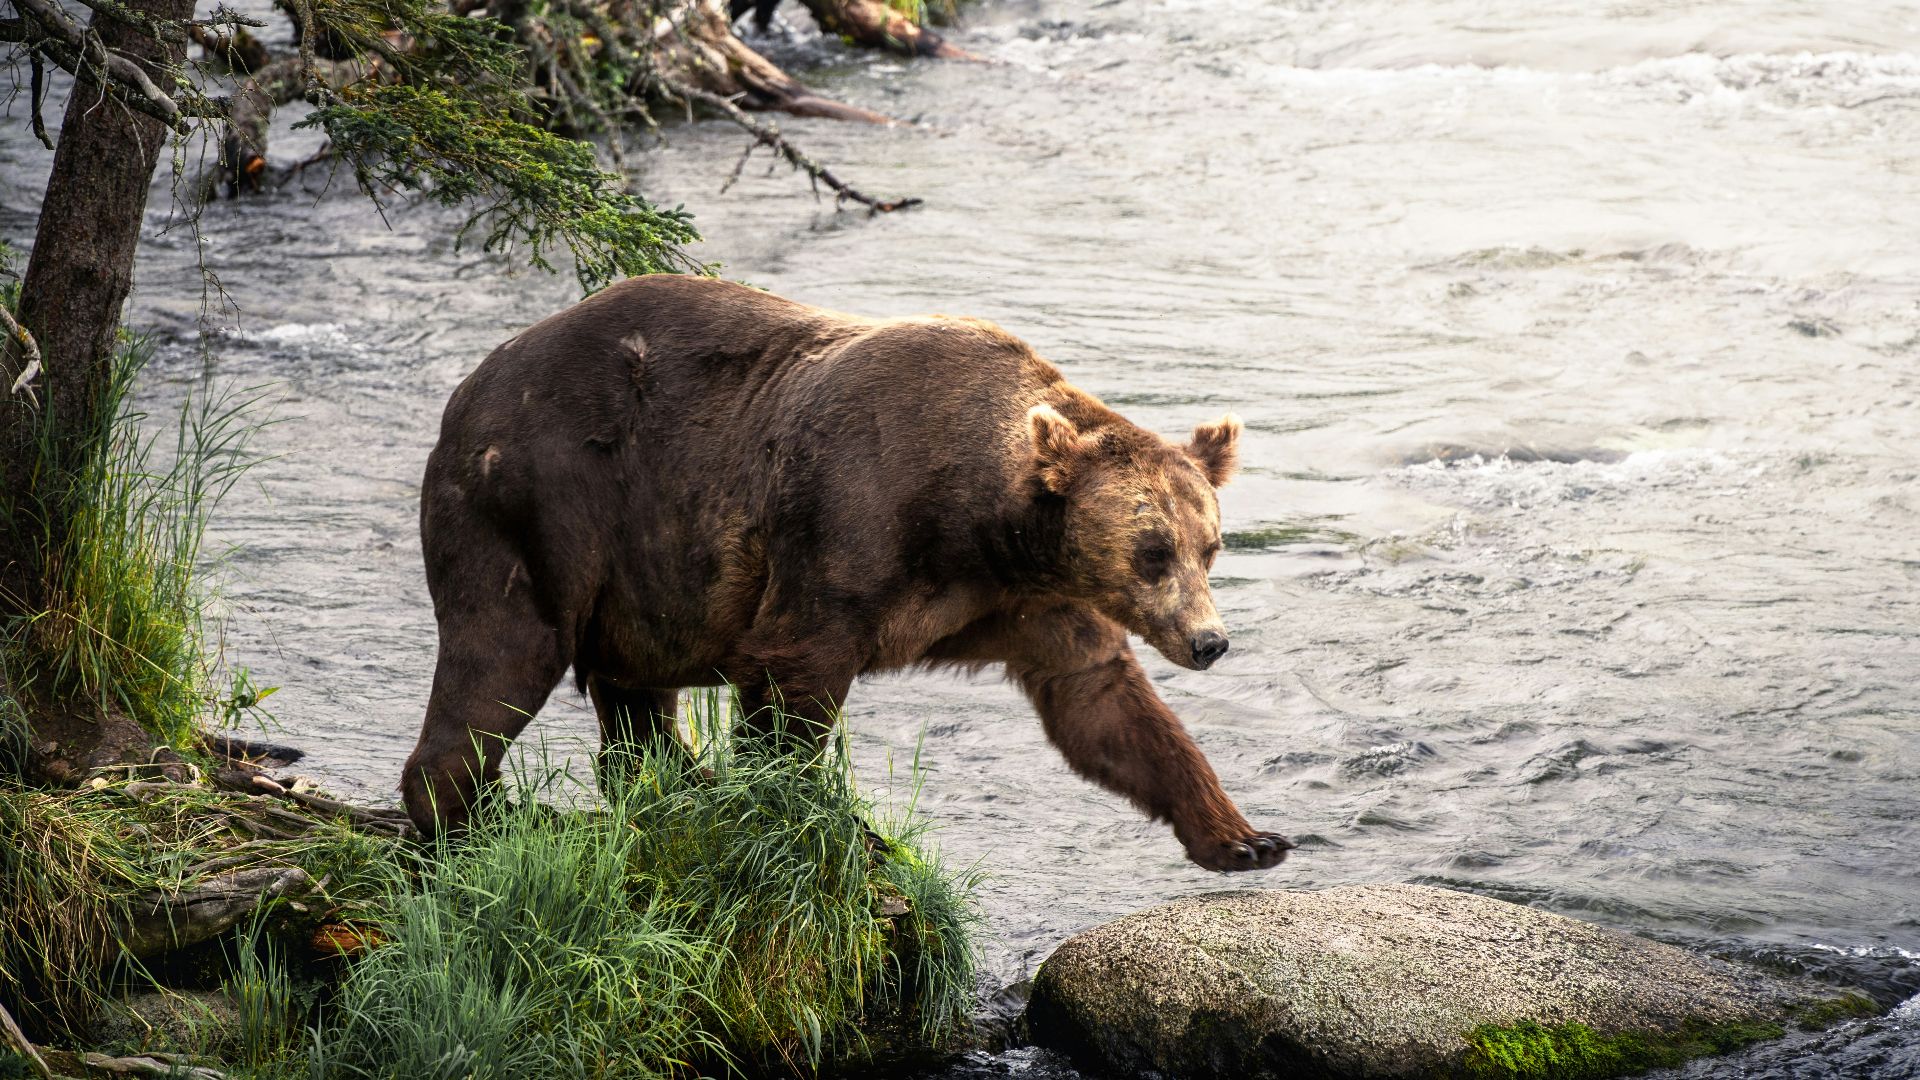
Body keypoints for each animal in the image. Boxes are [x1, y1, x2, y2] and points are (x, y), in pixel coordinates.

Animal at [401, 275, 1293, 872]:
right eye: (1154, 550)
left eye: (1209, 546)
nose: (1210, 641)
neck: (975, 521)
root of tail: (466, 391)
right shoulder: (843, 529)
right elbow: (793, 679)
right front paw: (821, 823)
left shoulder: (1031, 602)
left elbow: (1105, 704)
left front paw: (1245, 835)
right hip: (541, 503)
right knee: (503, 654)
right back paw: (468, 819)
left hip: (639, 572)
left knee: (634, 700)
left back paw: (671, 783)